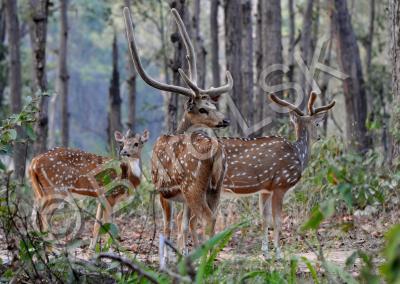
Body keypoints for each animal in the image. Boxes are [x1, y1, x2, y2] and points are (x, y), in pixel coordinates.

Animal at [123, 6, 231, 258]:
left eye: (212, 105)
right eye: (204, 108)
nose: (224, 120)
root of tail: (217, 152)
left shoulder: (163, 191)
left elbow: (167, 227)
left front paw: (167, 258)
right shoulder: (182, 199)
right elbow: (183, 227)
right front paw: (182, 255)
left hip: (193, 186)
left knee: (208, 219)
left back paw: (208, 259)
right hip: (216, 188)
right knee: (214, 218)